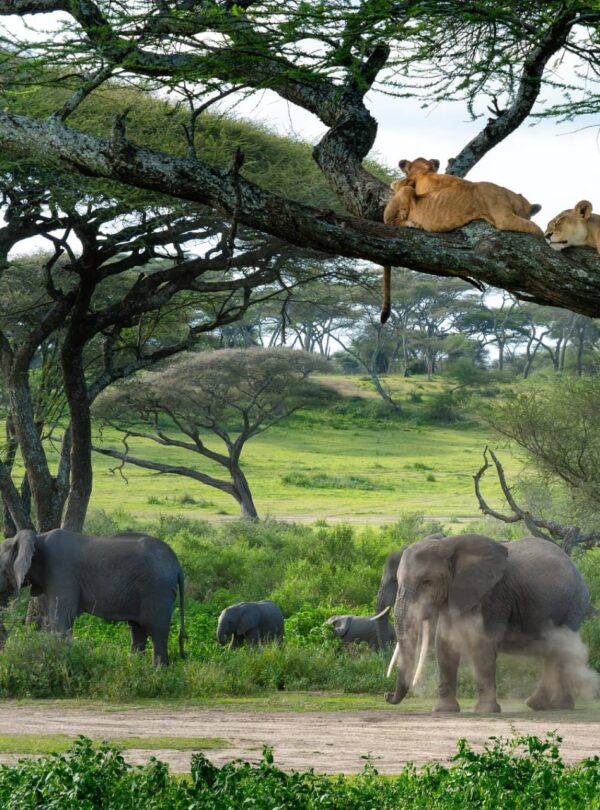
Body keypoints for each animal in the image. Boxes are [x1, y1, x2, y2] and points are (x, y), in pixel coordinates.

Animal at [0, 528, 186, 665]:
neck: (36, 538)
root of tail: (178, 566)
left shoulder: (62, 572)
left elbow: (61, 618)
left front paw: (62, 661)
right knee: (137, 628)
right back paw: (136, 667)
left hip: (158, 588)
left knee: (156, 629)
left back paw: (157, 673)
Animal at [380, 158, 543, 323]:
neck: (510, 197)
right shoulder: (504, 218)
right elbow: (536, 228)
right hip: (403, 198)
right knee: (392, 221)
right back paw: (412, 224)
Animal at [385, 533, 591, 713]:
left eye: (426, 582)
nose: (387, 695)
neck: (448, 545)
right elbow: (445, 645)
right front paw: (443, 710)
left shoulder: (493, 595)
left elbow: (481, 645)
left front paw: (484, 710)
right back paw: (543, 705)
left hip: (572, 605)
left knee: (558, 652)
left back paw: (551, 705)